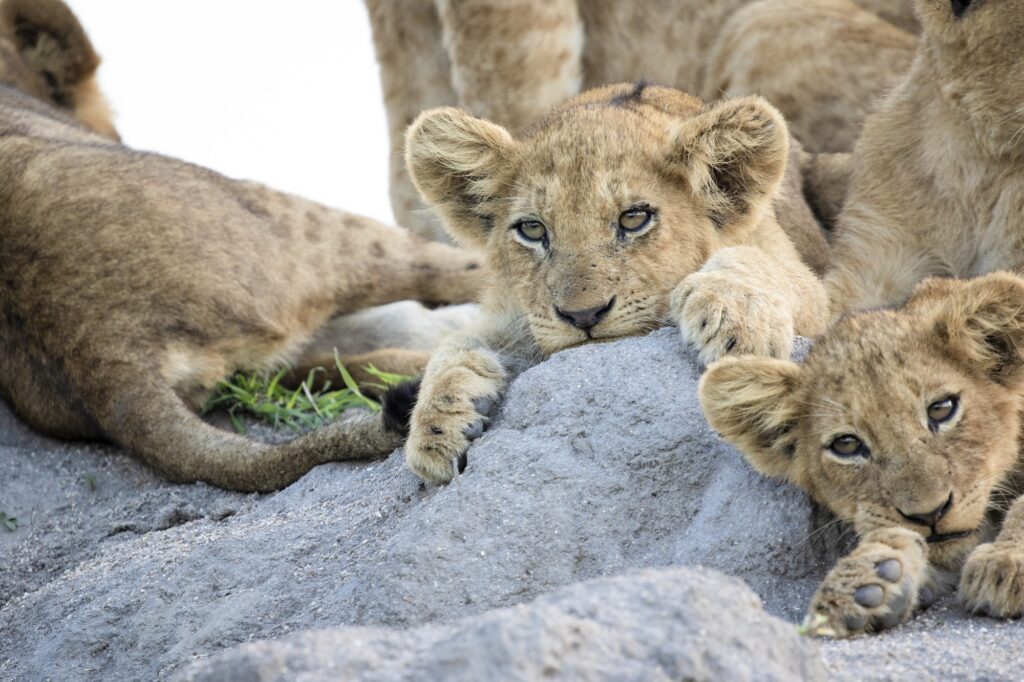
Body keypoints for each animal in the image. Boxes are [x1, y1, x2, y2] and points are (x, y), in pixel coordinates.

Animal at [387, 82, 827, 481]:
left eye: (634, 218)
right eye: (532, 229)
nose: (584, 316)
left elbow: (756, 262)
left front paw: (735, 321)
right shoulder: (516, 315)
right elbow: (457, 343)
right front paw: (437, 425)